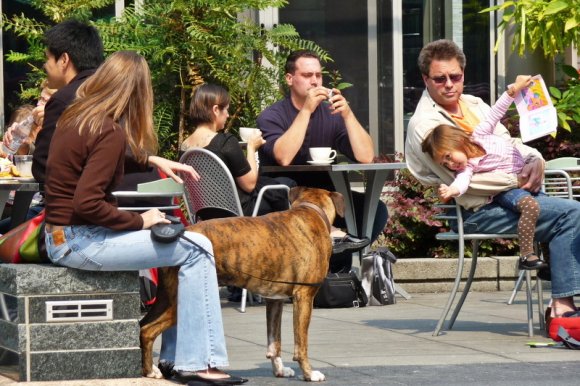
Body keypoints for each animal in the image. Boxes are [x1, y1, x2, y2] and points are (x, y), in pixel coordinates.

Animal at [140, 188, 344, 382]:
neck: (311, 210)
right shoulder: (304, 297)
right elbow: (301, 345)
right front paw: (309, 374)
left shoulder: (274, 301)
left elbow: (274, 341)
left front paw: (279, 370)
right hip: (180, 302)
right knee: (147, 330)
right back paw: (151, 371)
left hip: (165, 298)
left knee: (143, 324)